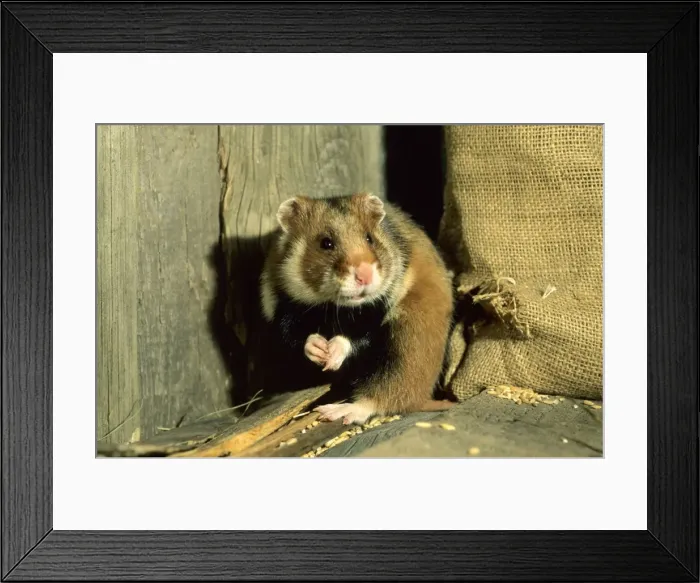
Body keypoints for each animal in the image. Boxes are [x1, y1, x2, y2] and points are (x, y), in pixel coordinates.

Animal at [258, 192, 455, 425]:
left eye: (370, 238)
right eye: (326, 243)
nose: (365, 274)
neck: (333, 306)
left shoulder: (378, 308)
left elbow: (356, 336)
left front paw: (332, 355)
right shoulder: (285, 307)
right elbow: (296, 337)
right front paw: (319, 350)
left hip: (408, 344)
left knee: (389, 394)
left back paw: (336, 412)